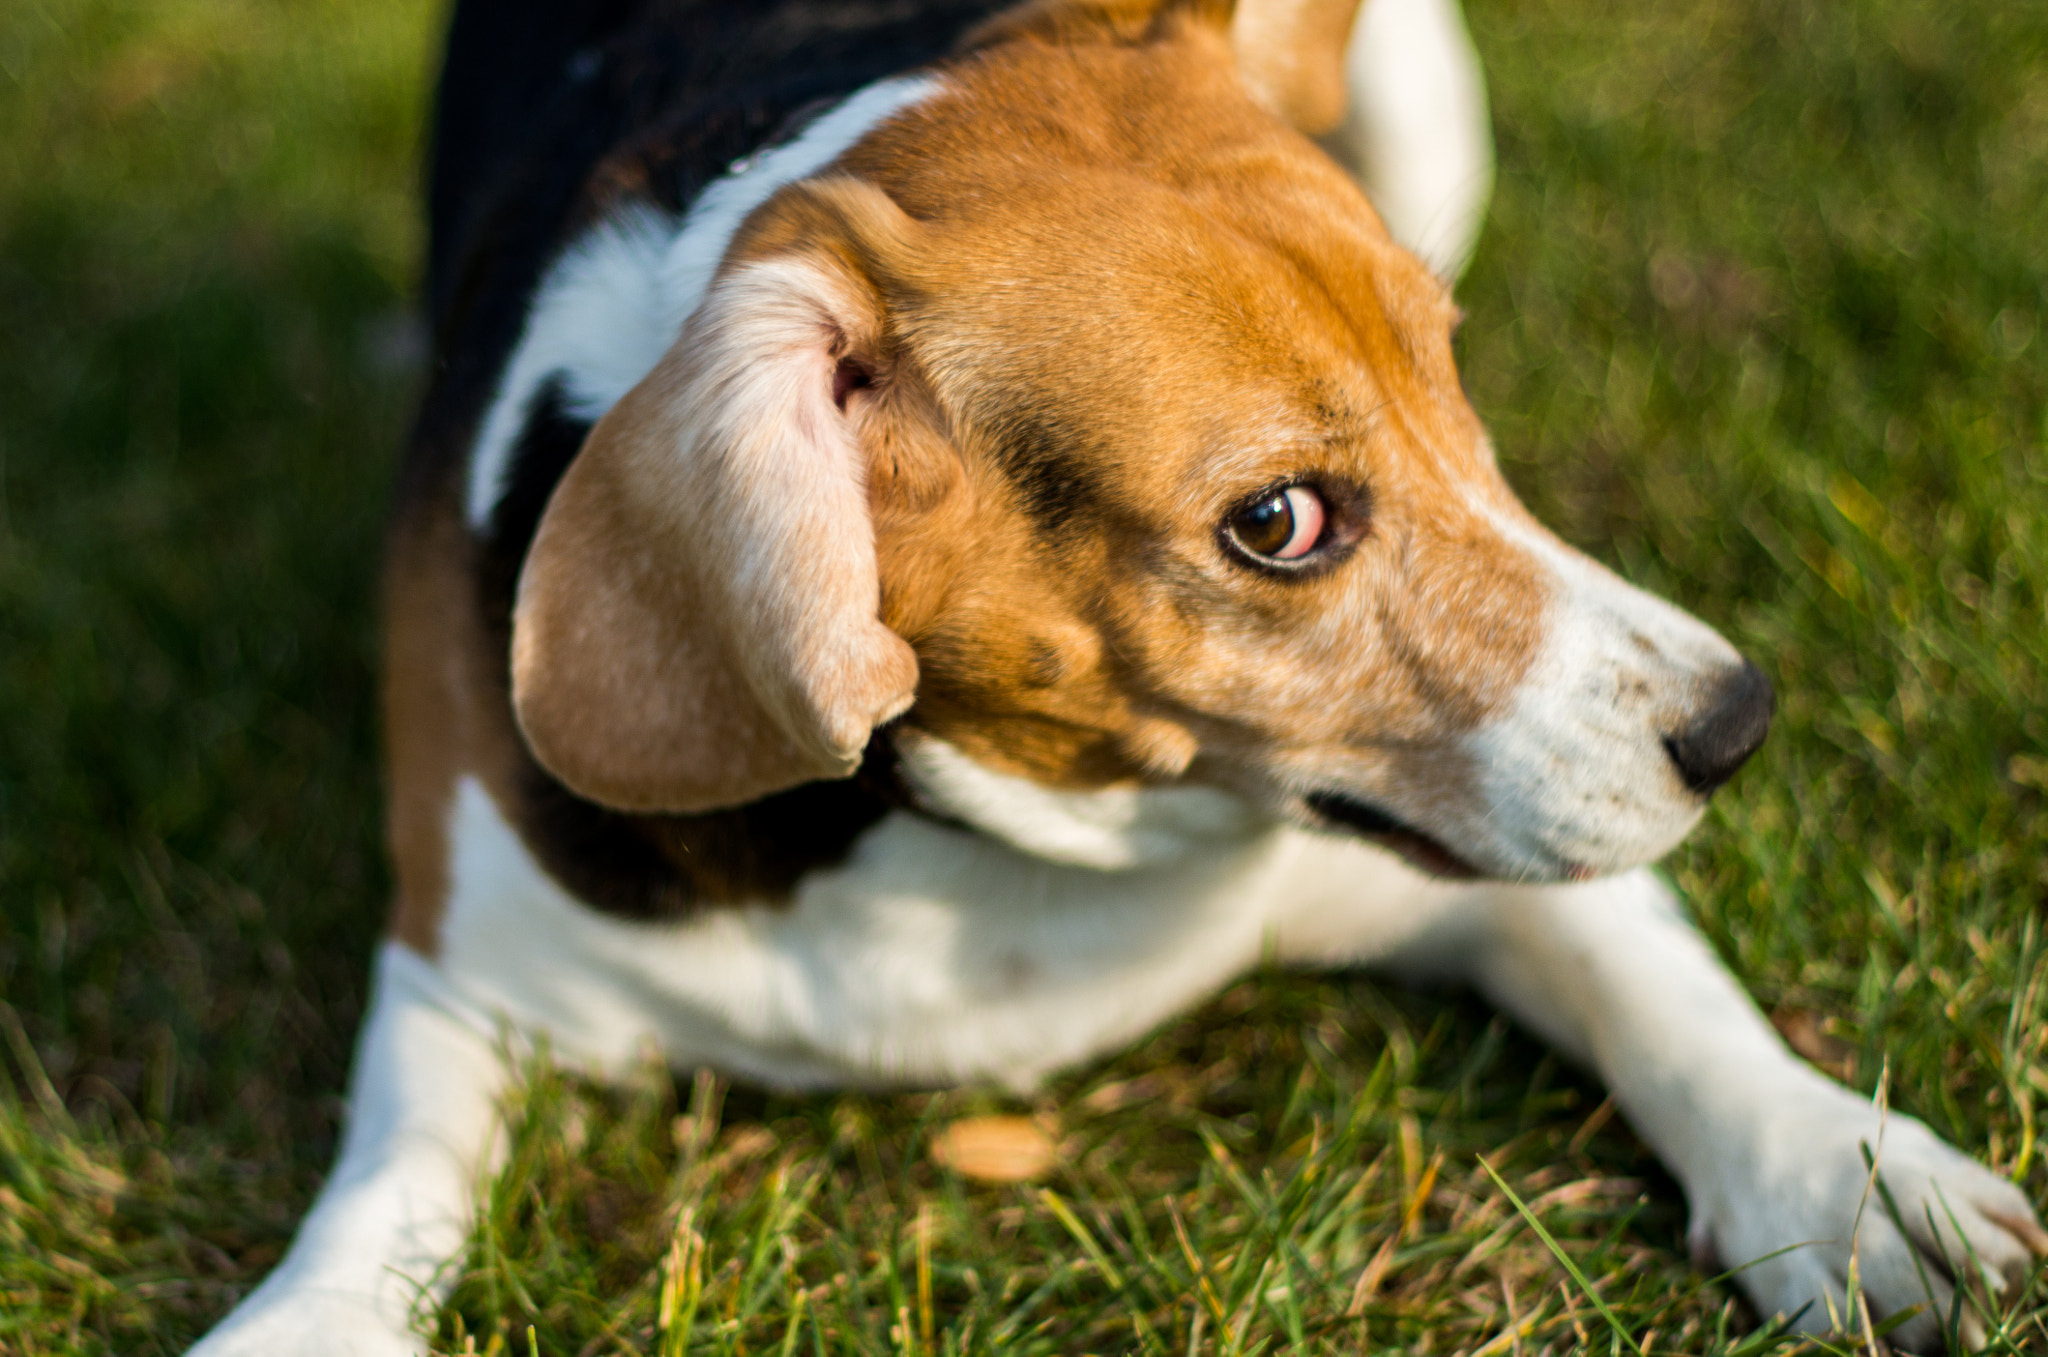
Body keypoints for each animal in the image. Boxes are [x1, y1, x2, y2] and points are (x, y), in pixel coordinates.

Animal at [184, 0, 2039, 1350]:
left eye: (1450, 377)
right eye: (1277, 524)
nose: (1735, 723)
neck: (969, 846)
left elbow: (1641, 968)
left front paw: (1846, 1176)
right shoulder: (462, 967)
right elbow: (391, 1179)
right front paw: (308, 1319)